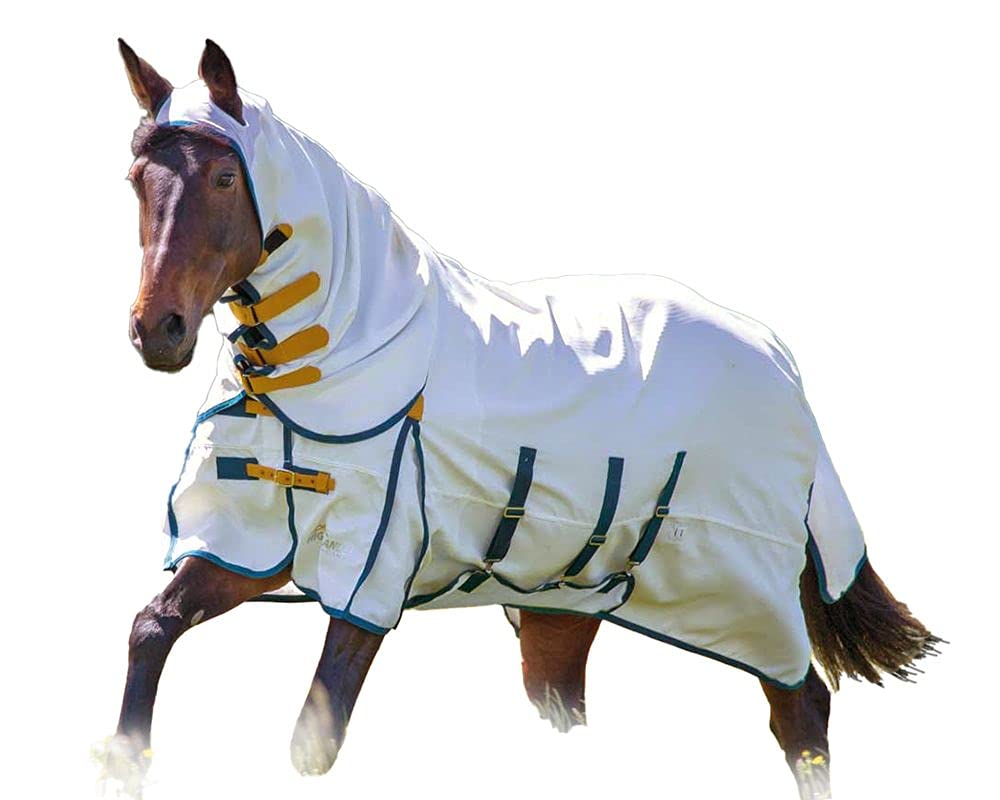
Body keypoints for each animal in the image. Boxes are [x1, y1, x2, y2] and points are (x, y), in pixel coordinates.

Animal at [107, 38, 941, 800]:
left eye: (224, 177)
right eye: (136, 180)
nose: (159, 331)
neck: (340, 343)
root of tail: (777, 356)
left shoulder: (371, 562)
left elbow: (314, 739)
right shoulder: (248, 542)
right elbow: (151, 628)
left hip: (745, 591)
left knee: (802, 711)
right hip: (566, 602)